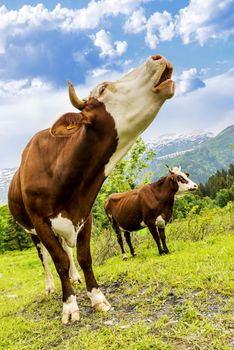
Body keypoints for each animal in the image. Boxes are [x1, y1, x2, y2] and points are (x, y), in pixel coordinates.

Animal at [8, 53, 175, 324]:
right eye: (103, 88)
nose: (157, 57)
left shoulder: (85, 215)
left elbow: (84, 257)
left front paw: (97, 298)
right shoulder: (40, 222)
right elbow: (58, 261)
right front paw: (69, 306)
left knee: (67, 248)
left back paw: (74, 278)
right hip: (30, 231)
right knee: (44, 257)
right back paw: (51, 287)